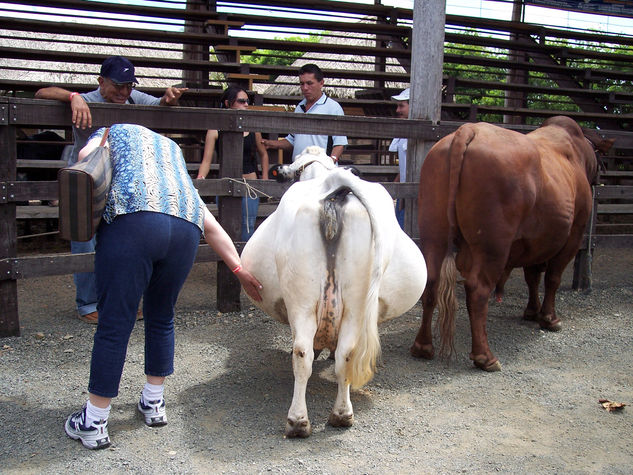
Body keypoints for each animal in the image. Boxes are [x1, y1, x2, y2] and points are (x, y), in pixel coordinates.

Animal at [239, 146, 428, 438]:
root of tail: (335, 183)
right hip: (355, 304)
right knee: (344, 355)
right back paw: (339, 415)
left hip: (302, 300)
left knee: (303, 353)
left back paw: (299, 421)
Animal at [410, 115, 612, 372]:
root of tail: (469, 130)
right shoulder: (573, 235)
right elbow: (552, 278)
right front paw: (549, 318)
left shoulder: (536, 241)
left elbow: (532, 276)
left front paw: (532, 311)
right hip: (493, 245)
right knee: (478, 290)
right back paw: (485, 356)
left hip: (433, 232)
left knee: (431, 281)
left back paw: (423, 346)